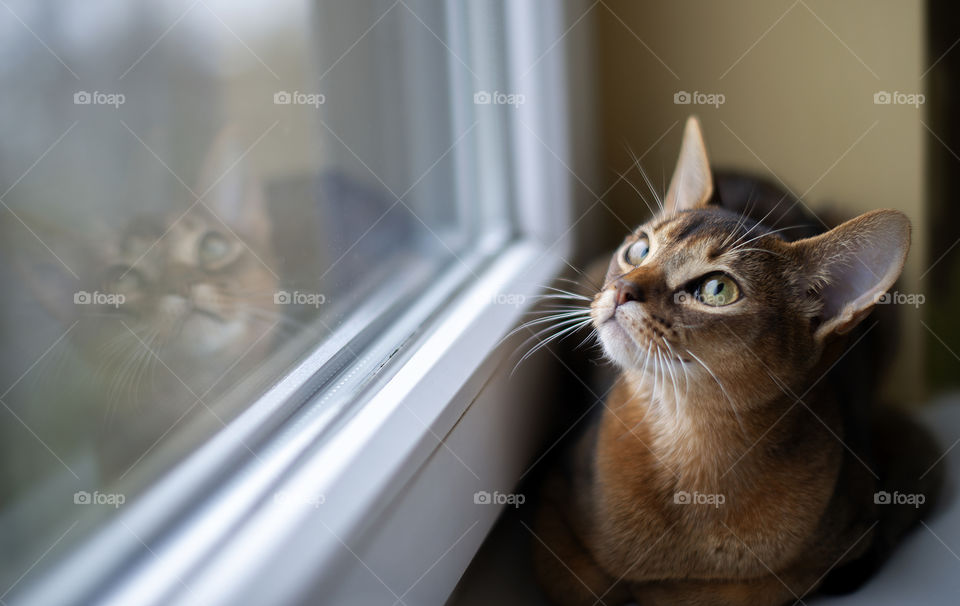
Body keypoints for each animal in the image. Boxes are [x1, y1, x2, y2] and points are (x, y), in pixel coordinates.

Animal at [532, 116, 944, 604]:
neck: (691, 448)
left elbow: (747, 588)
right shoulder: (551, 505)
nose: (622, 290)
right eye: (639, 250)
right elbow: (590, 582)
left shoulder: (852, 527)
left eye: (717, 289)